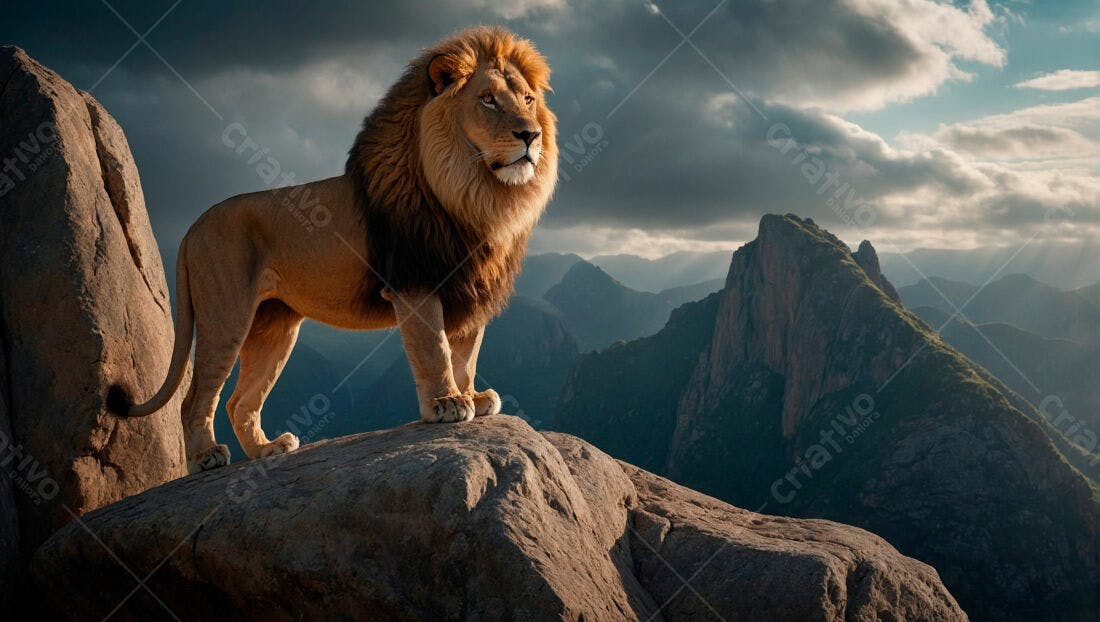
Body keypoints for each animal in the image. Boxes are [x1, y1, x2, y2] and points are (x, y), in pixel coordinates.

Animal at [107, 26, 557, 474]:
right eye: (487, 99)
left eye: (528, 100)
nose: (530, 135)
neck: (477, 195)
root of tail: (192, 226)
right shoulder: (415, 282)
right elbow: (436, 348)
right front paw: (447, 403)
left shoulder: (470, 286)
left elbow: (466, 354)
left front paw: (473, 398)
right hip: (226, 314)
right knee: (195, 399)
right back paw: (207, 457)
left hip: (274, 325)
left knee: (239, 402)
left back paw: (267, 449)